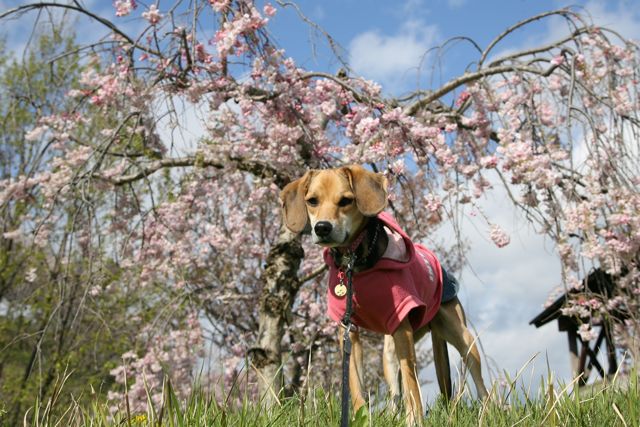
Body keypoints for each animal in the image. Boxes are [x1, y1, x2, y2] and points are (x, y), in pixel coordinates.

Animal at [282, 166, 490, 426]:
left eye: (346, 201)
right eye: (312, 201)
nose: (322, 227)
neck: (356, 262)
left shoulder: (402, 326)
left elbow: (412, 385)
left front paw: (414, 420)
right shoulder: (348, 331)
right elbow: (356, 385)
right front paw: (361, 416)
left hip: (460, 335)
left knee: (479, 380)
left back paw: (488, 411)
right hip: (389, 352)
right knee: (395, 390)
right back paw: (392, 414)